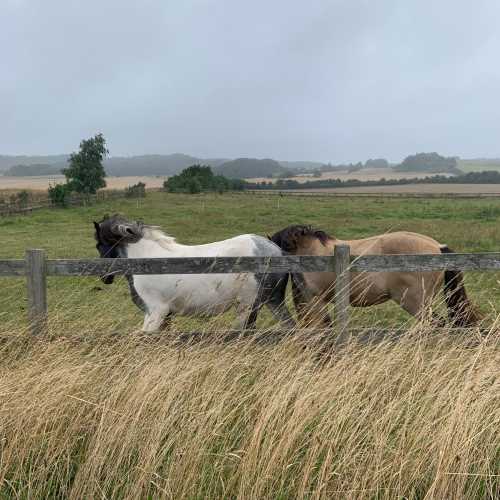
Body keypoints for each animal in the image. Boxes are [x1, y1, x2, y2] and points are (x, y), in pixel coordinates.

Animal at [94, 214, 292, 332]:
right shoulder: (165, 315)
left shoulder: (155, 312)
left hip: (247, 305)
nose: (105, 278)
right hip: (271, 301)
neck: (146, 259)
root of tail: (277, 250)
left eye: (99, 244)